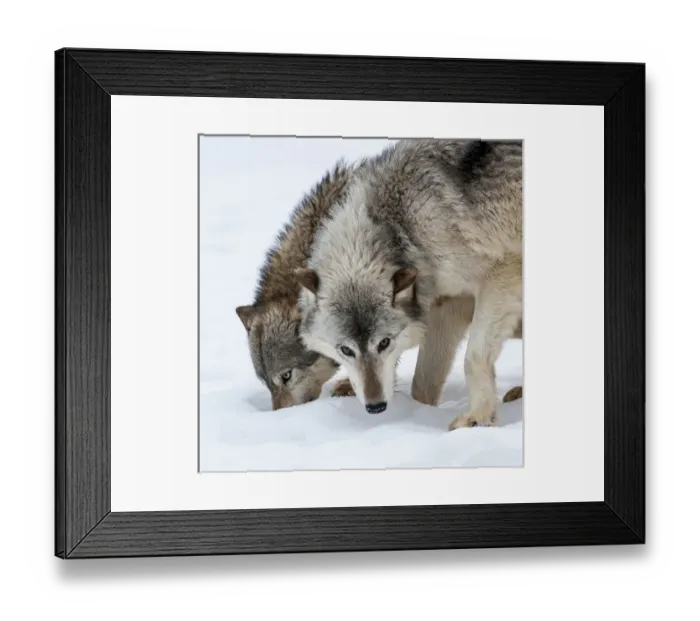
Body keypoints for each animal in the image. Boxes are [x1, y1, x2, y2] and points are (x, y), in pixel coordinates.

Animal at [296, 139, 523, 430]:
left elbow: (474, 356)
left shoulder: (502, 272)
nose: (376, 407)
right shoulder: (448, 303)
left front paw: (477, 417)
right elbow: (423, 381)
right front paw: (418, 414)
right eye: (346, 350)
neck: (402, 226)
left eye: (384, 343)